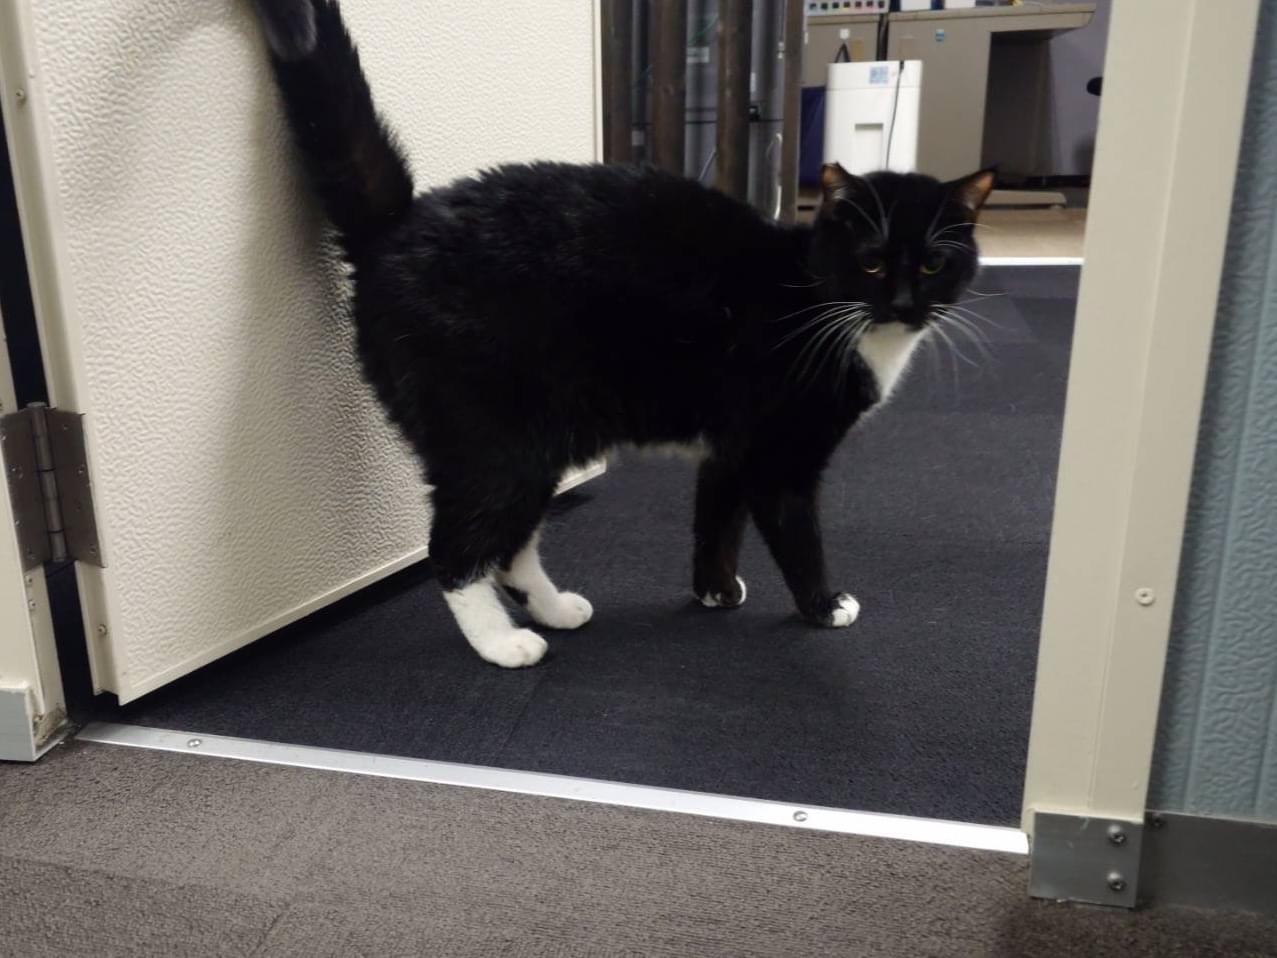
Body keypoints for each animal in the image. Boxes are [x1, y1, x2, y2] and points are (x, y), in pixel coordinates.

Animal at [250, 0, 994, 668]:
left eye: (933, 263)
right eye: (871, 262)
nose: (904, 302)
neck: (820, 300)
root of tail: (397, 230)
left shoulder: (731, 446)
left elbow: (715, 521)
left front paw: (714, 591)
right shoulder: (778, 452)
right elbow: (795, 535)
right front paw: (824, 605)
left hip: (539, 439)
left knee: (510, 543)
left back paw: (554, 608)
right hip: (494, 439)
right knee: (457, 547)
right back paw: (501, 643)